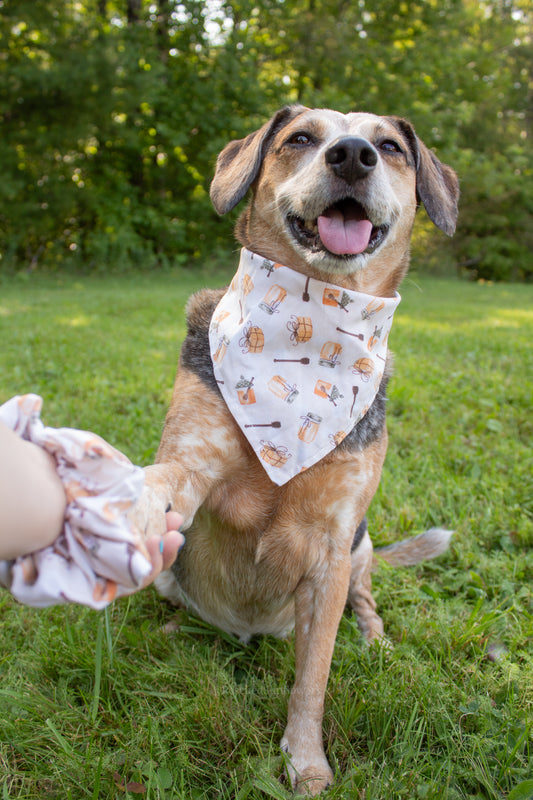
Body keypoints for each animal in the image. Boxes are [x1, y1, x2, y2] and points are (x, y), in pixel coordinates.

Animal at [132, 106, 458, 792]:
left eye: (391, 147)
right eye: (301, 138)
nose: (353, 154)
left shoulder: (335, 542)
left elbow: (313, 678)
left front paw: (306, 762)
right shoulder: (192, 468)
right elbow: (164, 479)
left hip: (361, 549)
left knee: (366, 602)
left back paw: (377, 641)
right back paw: (177, 627)